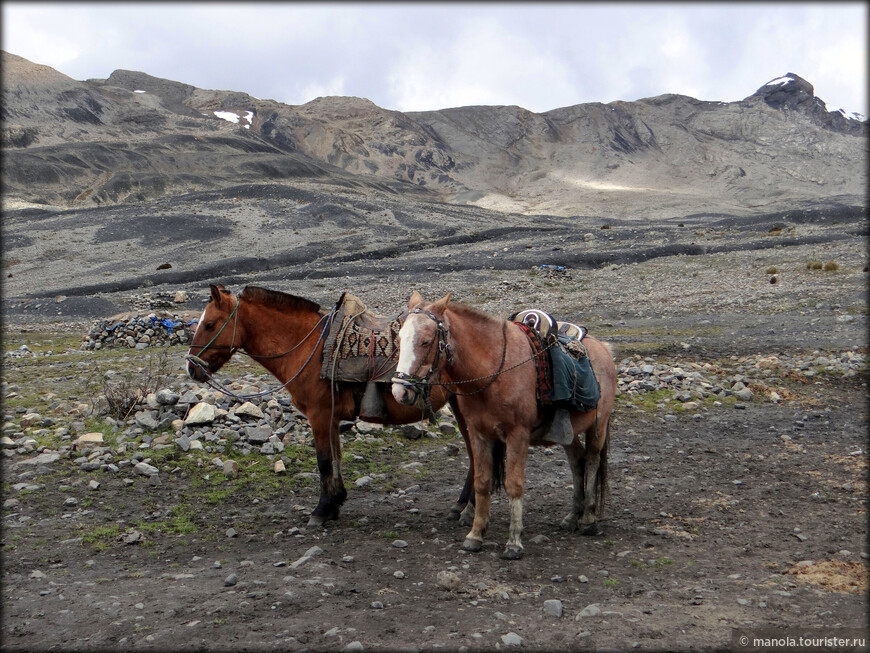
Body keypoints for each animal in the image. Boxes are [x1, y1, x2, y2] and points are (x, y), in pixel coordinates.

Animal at [186, 282, 476, 528]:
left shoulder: (319, 414)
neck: (308, 348)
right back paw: (461, 506)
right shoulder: (332, 417)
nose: (191, 368)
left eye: (209, 324)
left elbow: (324, 461)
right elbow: (336, 458)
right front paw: (336, 502)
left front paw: (321, 510)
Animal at [392, 292, 616, 556]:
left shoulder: (517, 435)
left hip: (598, 427)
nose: (399, 391)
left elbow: (514, 484)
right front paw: (475, 534)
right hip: (567, 433)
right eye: (399, 338)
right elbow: (482, 482)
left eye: (426, 342)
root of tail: (603, 348)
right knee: (577, 461)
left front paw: (514, 541)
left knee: (591, 460)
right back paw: (572, 517)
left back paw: (588, 519)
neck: (493, 371)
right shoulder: (478, 433)